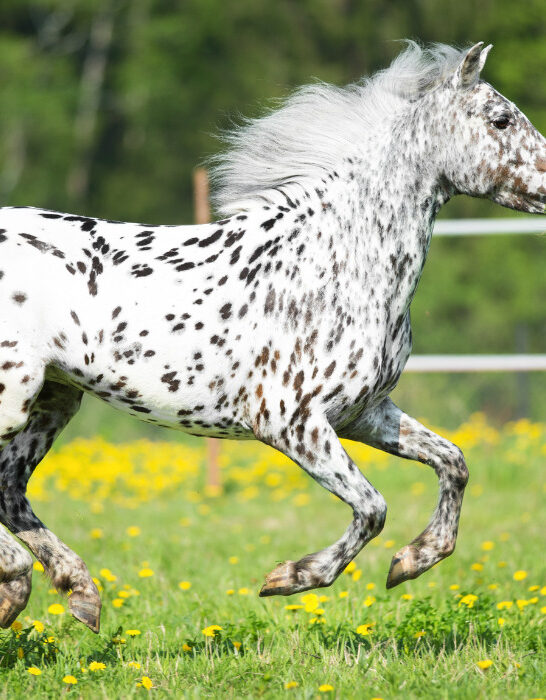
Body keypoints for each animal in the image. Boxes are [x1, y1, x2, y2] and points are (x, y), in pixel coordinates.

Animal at [1, 42, 544, 636]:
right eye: (500, 119)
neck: (333, 262)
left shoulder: (363, 415)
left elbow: (454, 463)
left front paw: (411, 561)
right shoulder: (291, 422)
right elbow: (373, 507)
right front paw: (289, 577)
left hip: (54, 399)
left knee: (9, 490)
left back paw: (74, 591)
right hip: (14, 400)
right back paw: (21, 577)